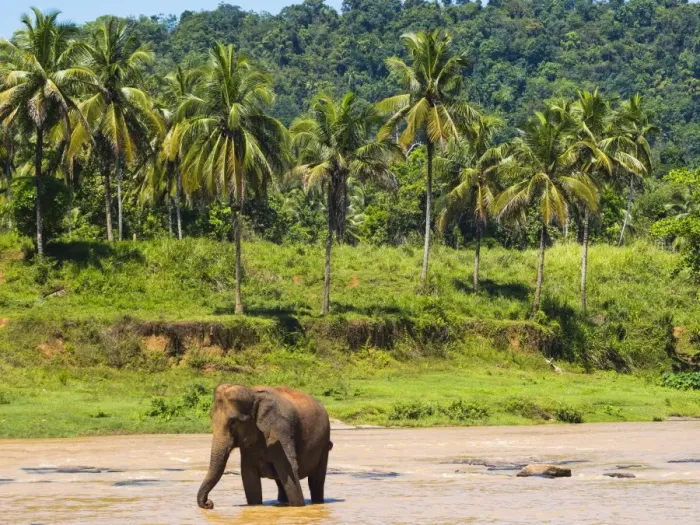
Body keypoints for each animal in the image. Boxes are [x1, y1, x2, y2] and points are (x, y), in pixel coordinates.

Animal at [197, 384, 332, 509]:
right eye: (211, 418)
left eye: (234, 422)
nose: (209, 503)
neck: (253, 393)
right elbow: (249, 475)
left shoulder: (281, 429)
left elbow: (288, 470)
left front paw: (298, 507)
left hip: (324, 444)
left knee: (316, 481)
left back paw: (317, 502)